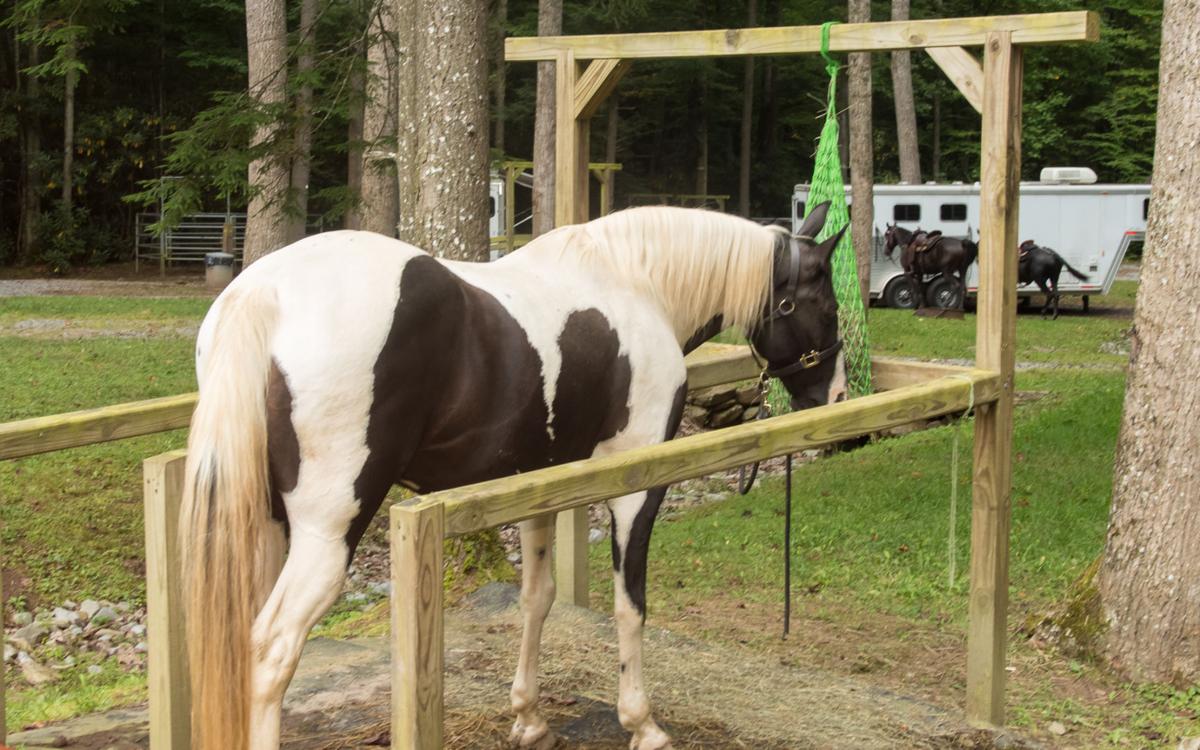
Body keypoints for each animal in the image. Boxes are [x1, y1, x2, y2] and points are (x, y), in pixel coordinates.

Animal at [180, 202, 849, 750]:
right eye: (825, 304)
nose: (838, 396)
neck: (638, 284)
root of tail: (263, 295)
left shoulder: (539, 484)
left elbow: (537, 597)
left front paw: (529, 719)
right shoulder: (637, 484)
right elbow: (630, 604)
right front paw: (643, 724)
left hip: (268, 525)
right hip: (326, 533)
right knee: (271, 648)